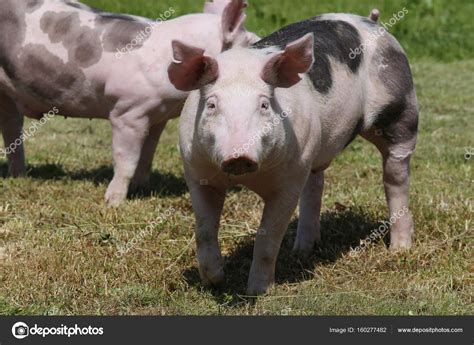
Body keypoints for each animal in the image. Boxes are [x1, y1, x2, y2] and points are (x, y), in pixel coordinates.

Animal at [0, 0, 260, 204]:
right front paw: (113, 203)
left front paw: (142, 188)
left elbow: (147, 155)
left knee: (12, 130)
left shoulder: (158, 117)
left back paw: (20, 176)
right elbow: (126, 159)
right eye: (252, 43)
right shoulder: (127, 112)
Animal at [169, 12, 418, 294]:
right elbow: (204, 230)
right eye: (211, 105)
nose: (239, 156)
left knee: (396, 178)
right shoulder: (197, 172)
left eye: (264, 105)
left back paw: (399, 250)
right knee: (315, 184)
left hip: (401, 108)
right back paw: (302, 250)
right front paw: (215, 281)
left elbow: (268, 236)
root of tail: (371, 21)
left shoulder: (289, 180)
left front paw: (258, 291)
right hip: (314, 148)